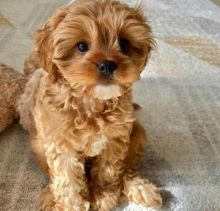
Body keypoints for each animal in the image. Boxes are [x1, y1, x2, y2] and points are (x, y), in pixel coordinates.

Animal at [18, 0, 162, 210]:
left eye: (124, 44)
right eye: (81, 46)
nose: (107, 65)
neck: (92, 103)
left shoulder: (115, 139)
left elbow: (108, 171)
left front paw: (102, 195)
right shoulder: (61, 144)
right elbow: (67, 182)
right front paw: (71, 205)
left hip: (138, 134)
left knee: (127, 170)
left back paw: (141, 188)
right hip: (38, 144)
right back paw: (49, 196)